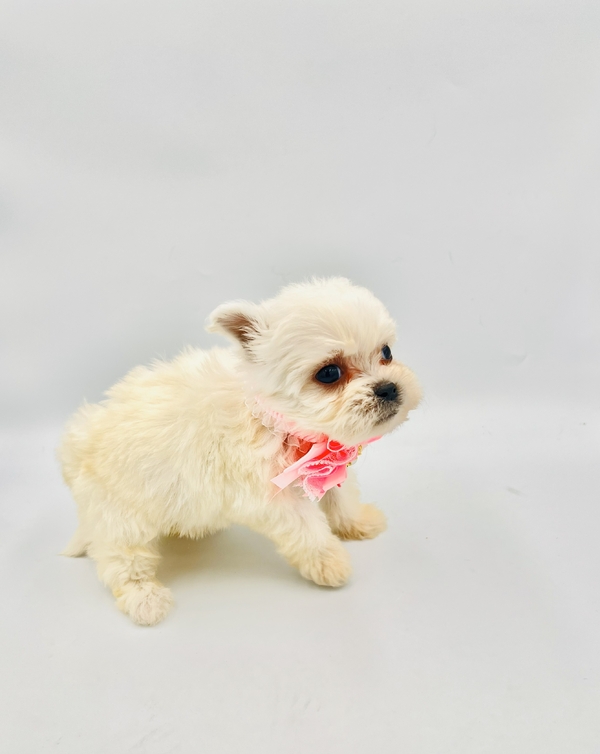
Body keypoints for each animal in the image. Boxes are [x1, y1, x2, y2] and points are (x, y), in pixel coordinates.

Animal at [59, 277, 421, 625]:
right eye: (329, 373)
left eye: (386, 352)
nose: (388, 388)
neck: (273, 421)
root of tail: (75, 454)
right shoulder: (271, 497)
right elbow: (307, 529)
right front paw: (330, 562)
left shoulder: (325, 463)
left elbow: (340, 497)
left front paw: (356, 523)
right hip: (122, 519)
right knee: (121, 562)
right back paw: (145, 599)